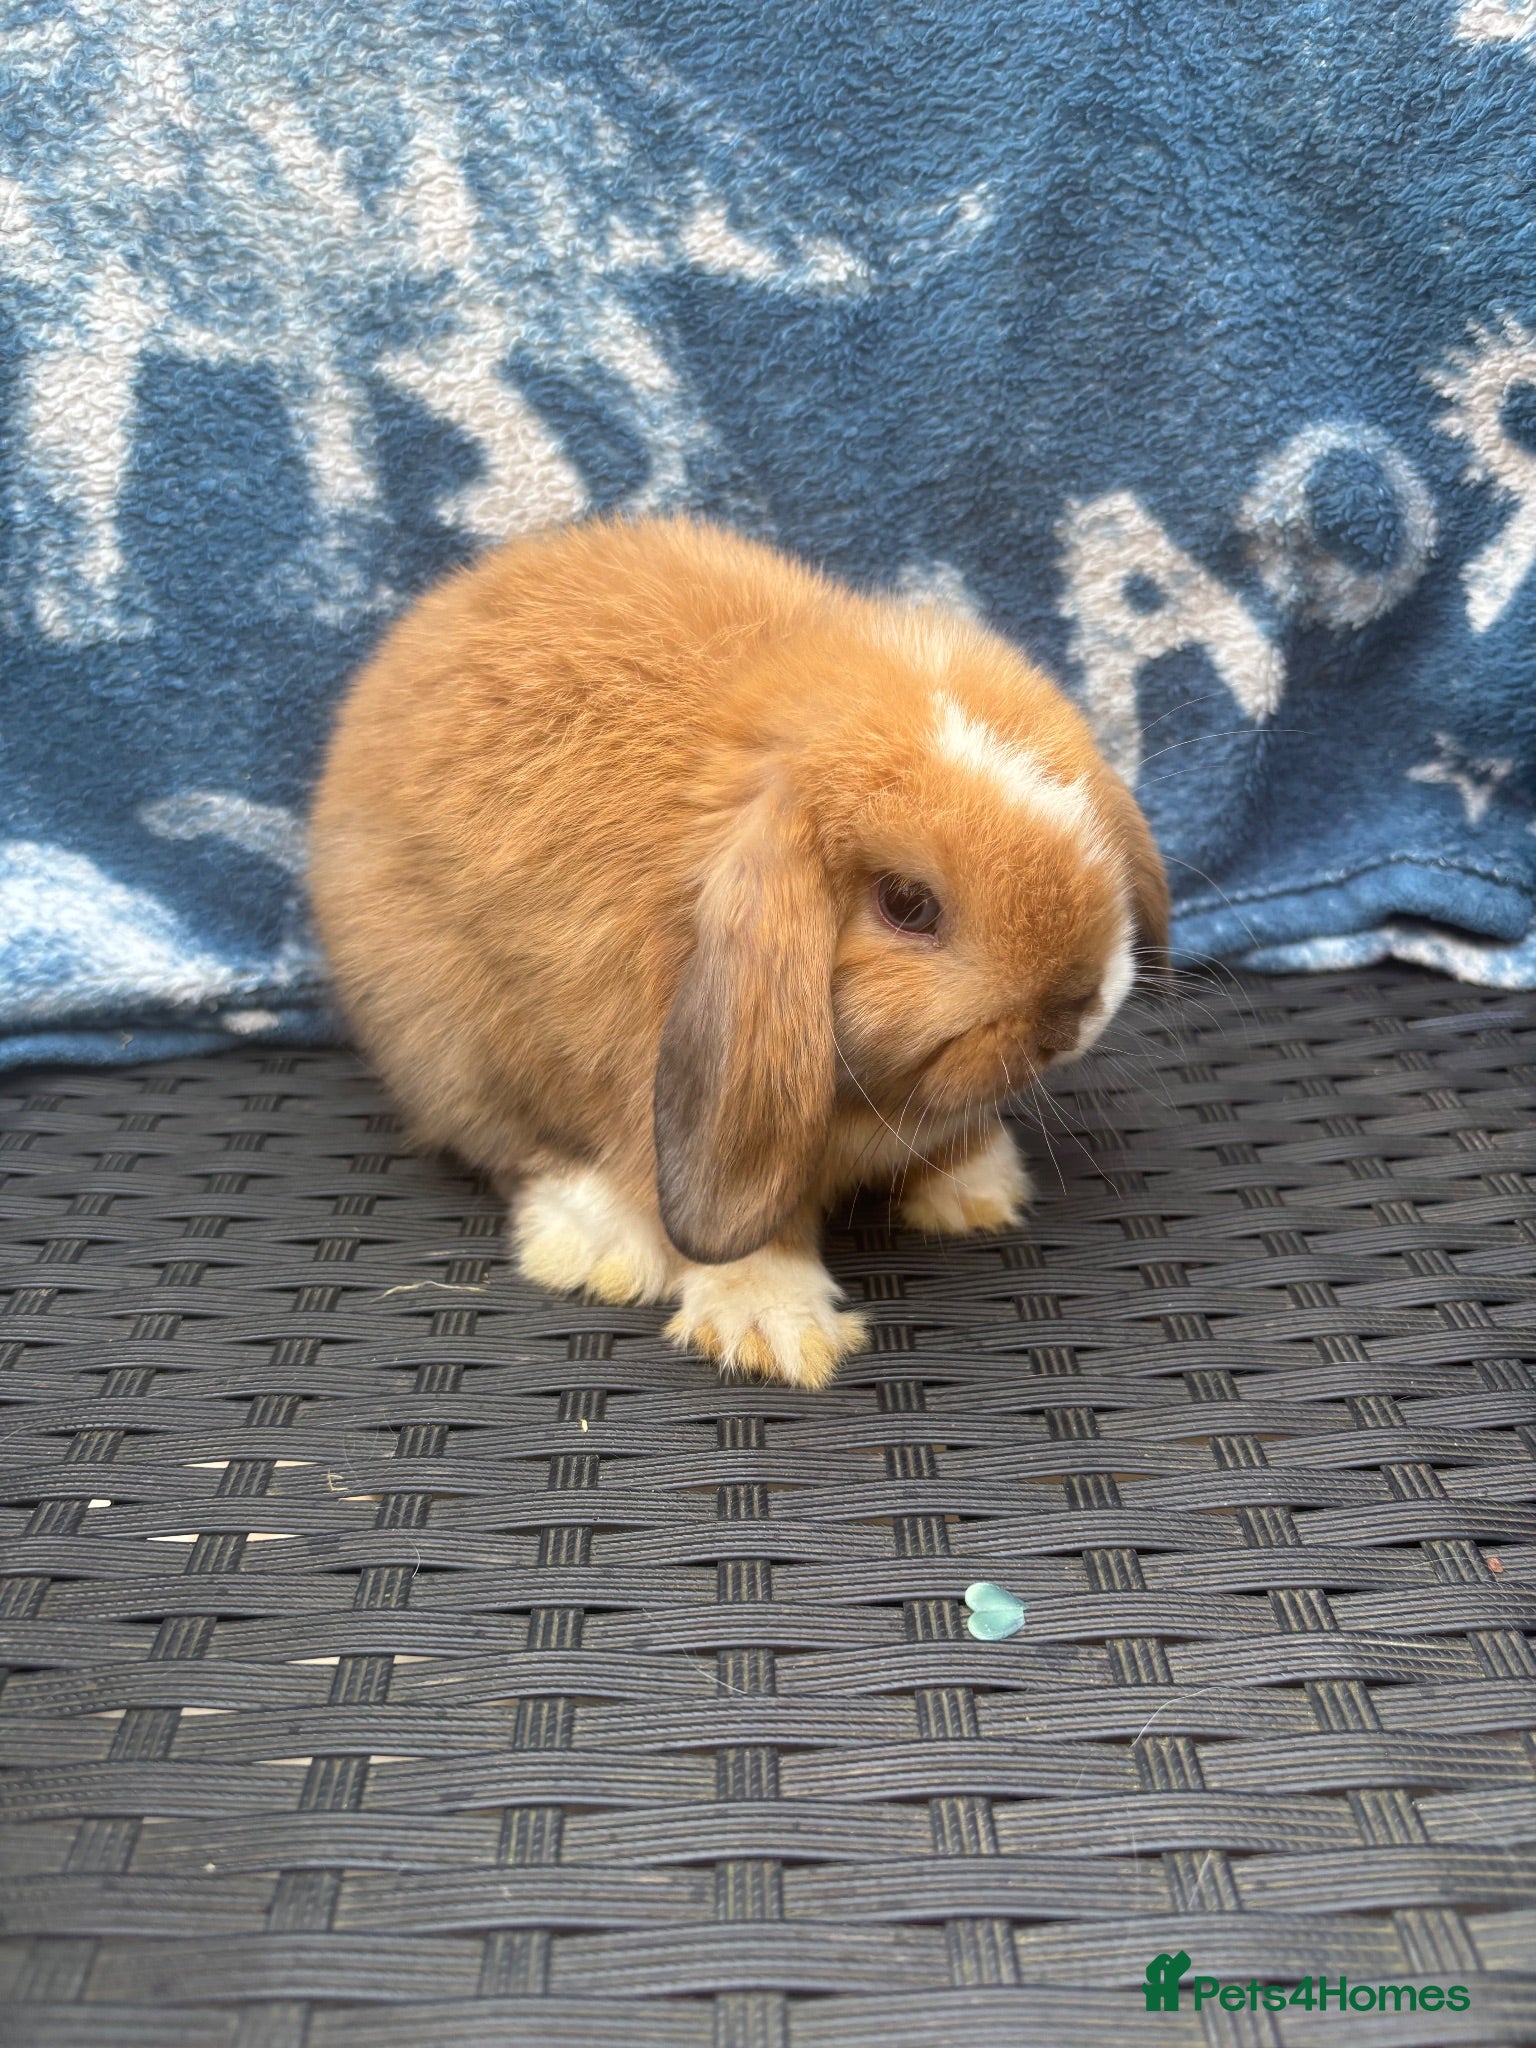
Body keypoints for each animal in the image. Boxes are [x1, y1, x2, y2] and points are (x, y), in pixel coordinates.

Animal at [309, 515, 1167, 1388]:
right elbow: (747, 1225)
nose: (1075, 1012)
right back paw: (594, 1245)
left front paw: (978, 1190)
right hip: (450, 1043)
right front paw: (775, 1330)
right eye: (907, 904)